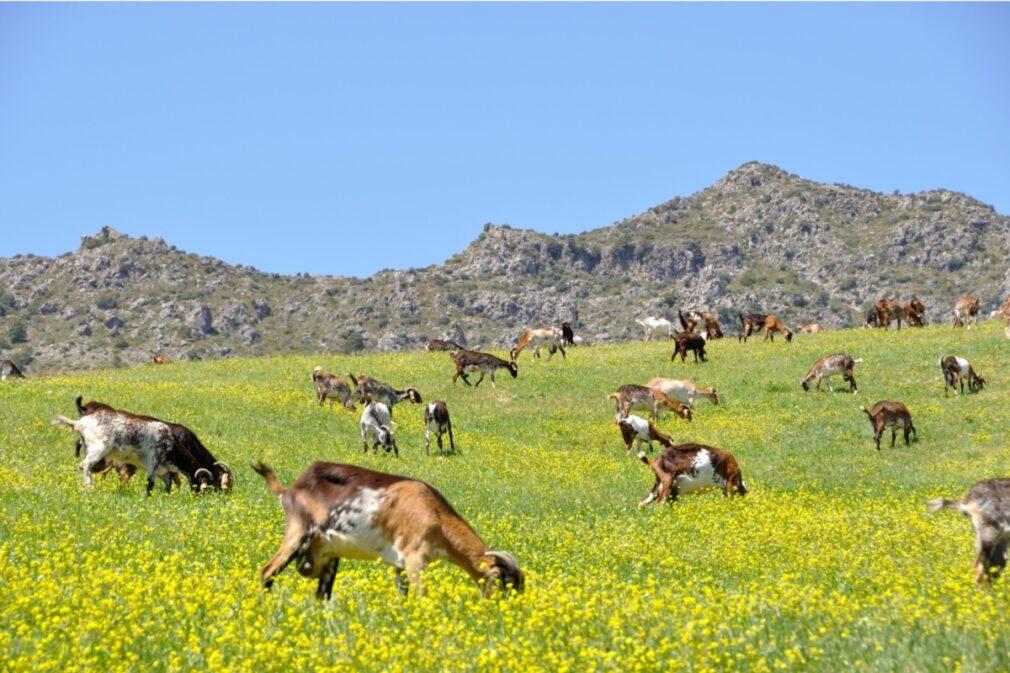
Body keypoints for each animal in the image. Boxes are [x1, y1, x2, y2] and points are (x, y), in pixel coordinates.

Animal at [251, 460, 525, 598]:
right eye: (507, 585)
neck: (434, 513)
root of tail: (289, 489)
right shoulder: (415, 558)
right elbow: (420, 596)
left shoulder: (399, 564)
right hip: (298, 533)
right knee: (267, 572)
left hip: (328, 554)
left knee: (322, 594)